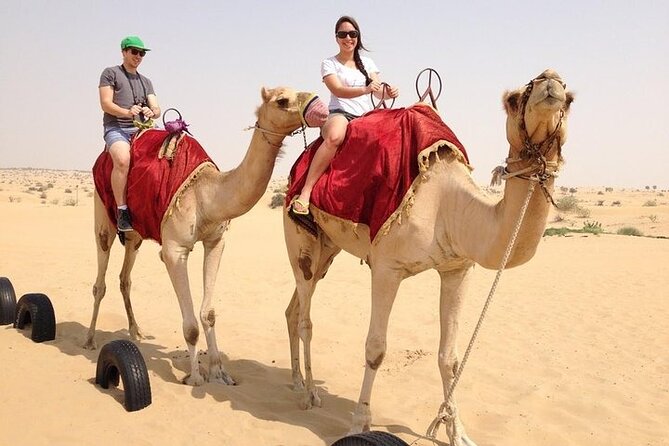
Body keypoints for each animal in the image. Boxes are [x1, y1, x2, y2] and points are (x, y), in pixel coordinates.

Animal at [84, 87, 319, 386]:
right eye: (282, 100)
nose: (317, 105)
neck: (206, 196)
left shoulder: (215, 241)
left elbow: (208, 314)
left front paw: (219, 371)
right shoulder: (173, 250)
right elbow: (191, 327)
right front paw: (195, 377)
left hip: (135, 235)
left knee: (125, 278)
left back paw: (137, 332)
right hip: (103, 214)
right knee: (100, 279)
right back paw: (90, 339)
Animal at [283, 69, 573, 444]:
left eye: (570, 97)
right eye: (512, 100)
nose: (550, 80)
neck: (448, 206)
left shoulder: (457, 268)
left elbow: (450, 358)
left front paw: (457, 432)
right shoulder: (386, 267)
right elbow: (375, 349)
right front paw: (359, 423)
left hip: (328, 248)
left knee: (294, 308)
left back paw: (296, 382)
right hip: (299, 237)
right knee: (305, 315)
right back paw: (309, 394)